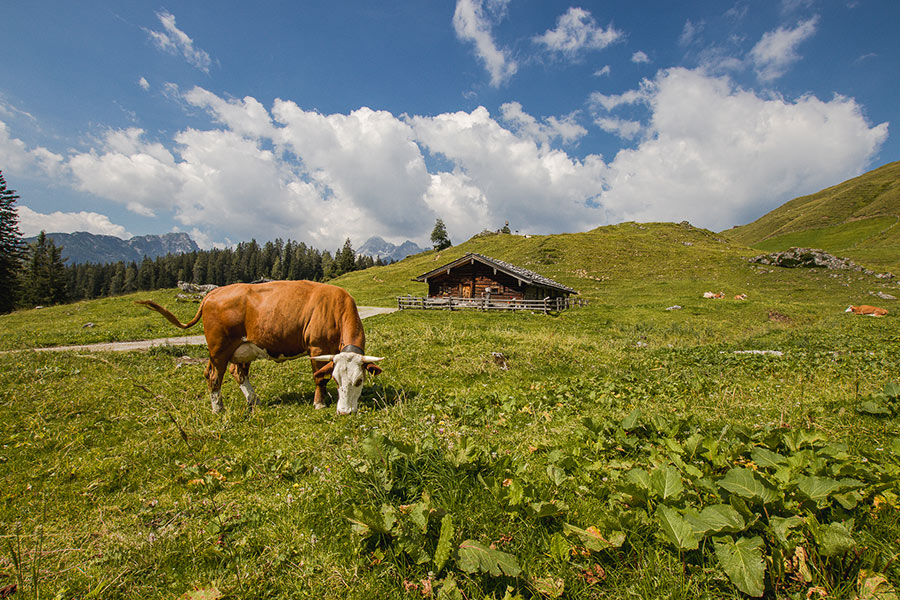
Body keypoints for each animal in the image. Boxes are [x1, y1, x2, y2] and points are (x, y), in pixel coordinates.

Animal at [136, 280, 383, 415]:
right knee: (214, 375)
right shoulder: (317, 348)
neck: (335, 306)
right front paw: (320, 403)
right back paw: (218, 409)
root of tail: (213, 293)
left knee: (237, 373)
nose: (345, 412)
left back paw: (253, 401)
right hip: (219, 349)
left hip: (241, 348)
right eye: (337, 380)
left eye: (359, 381)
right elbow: (318, 377)